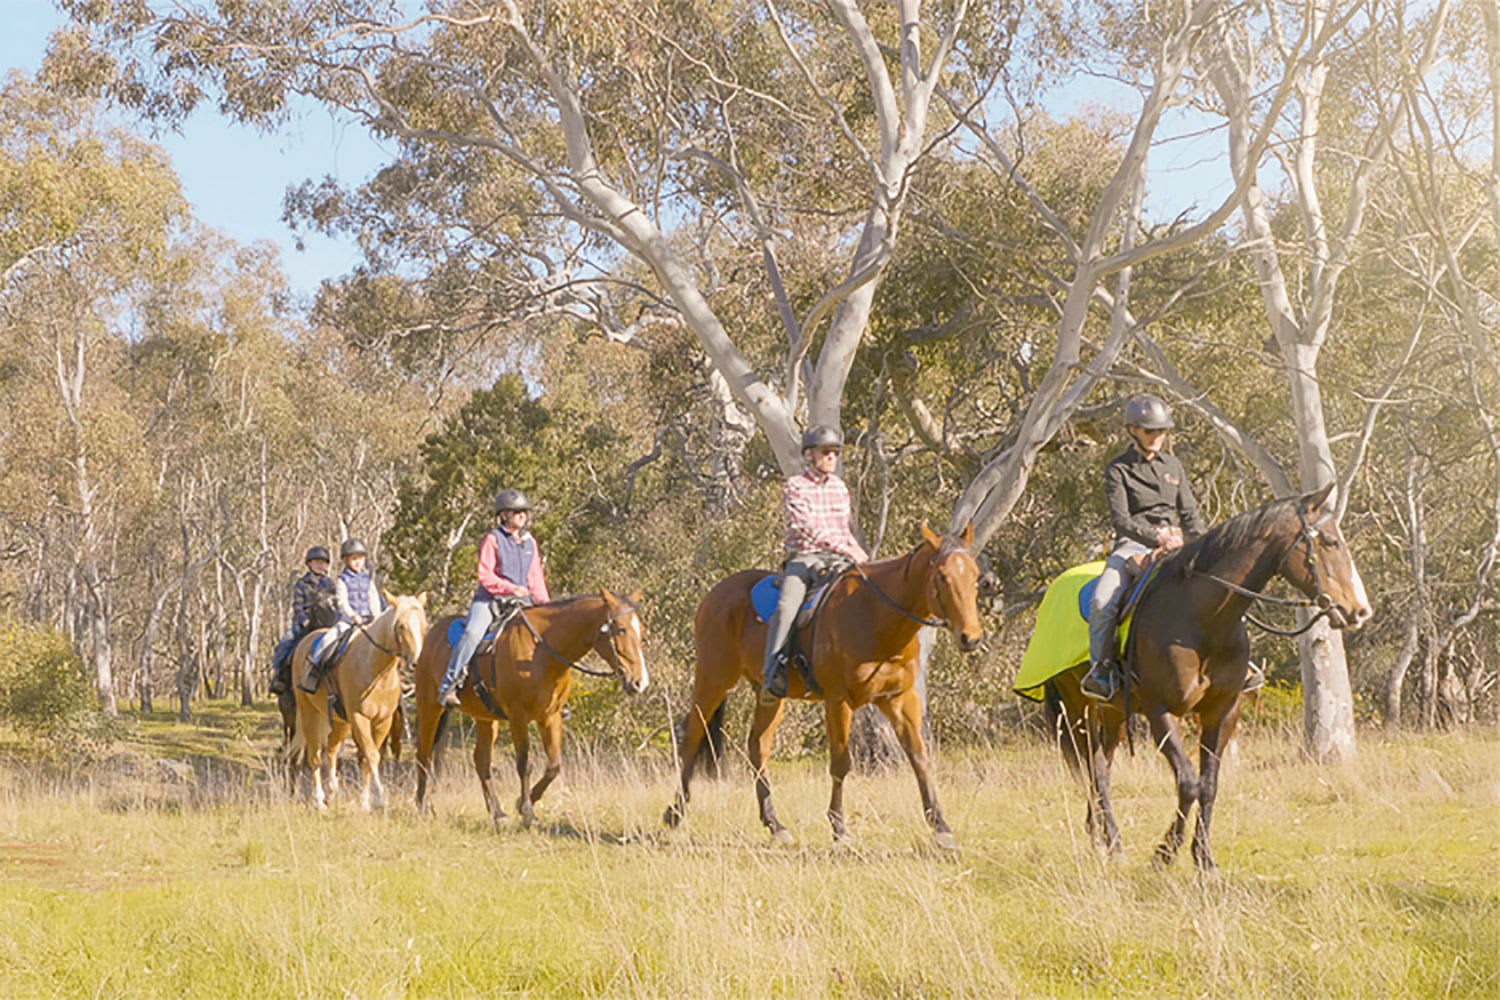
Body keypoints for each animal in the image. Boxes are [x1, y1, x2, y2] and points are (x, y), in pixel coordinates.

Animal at [287, 592, 429, 811]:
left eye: (424, 624)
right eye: (401, 626)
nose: (416, 662)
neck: (376, 670)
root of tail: (305, 642)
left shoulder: (383, 721)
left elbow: (369, 758)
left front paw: (365, 801)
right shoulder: (359, 718)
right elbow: (371, 755)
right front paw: (378, 798)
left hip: (340, 722)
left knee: (331, 749)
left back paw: (333, 790)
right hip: (310, 714)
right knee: (314, 755)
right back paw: (319, 800)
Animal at [412, 589, 649, 826]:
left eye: (641, 631)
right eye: (621, 629)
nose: (640, 682)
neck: (540, 653)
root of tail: (431, 634)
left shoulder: (551, 716)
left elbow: (554, 765)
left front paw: (524, 802)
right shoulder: (518, 716)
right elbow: (524, 764)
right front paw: (527, 811)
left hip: (486, 718)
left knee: (481, 760)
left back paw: (498, 813)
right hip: (429, 708)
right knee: (423, 754)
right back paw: (421, 806)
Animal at [664, 525, 985, 849]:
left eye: (975, 575)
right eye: (942, 576)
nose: (970, 637)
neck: (877, 616)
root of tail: (715, 593)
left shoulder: (899, 699)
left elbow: (920, 758)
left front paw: (941, 827)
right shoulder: (838, 700)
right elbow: (841, 763)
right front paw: (839, 829)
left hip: (770, 696)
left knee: (757, 746)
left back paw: (775, 824)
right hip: (713, 676)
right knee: (693, 735)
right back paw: (674, 813)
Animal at [1041, 484, 1372, 870]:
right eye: (1330, 542)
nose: (1360, 611)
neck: (1202, 621)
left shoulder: (1222, 712)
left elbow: (1209, 785)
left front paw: (1203, 857)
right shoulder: (1160, 711)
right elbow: (1188, 783)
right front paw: (1165, 854)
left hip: (1113, 714)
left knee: (1101, 769)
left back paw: (1103, 841)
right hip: (1077, 709)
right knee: (1096, 771)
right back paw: (1114, 843)